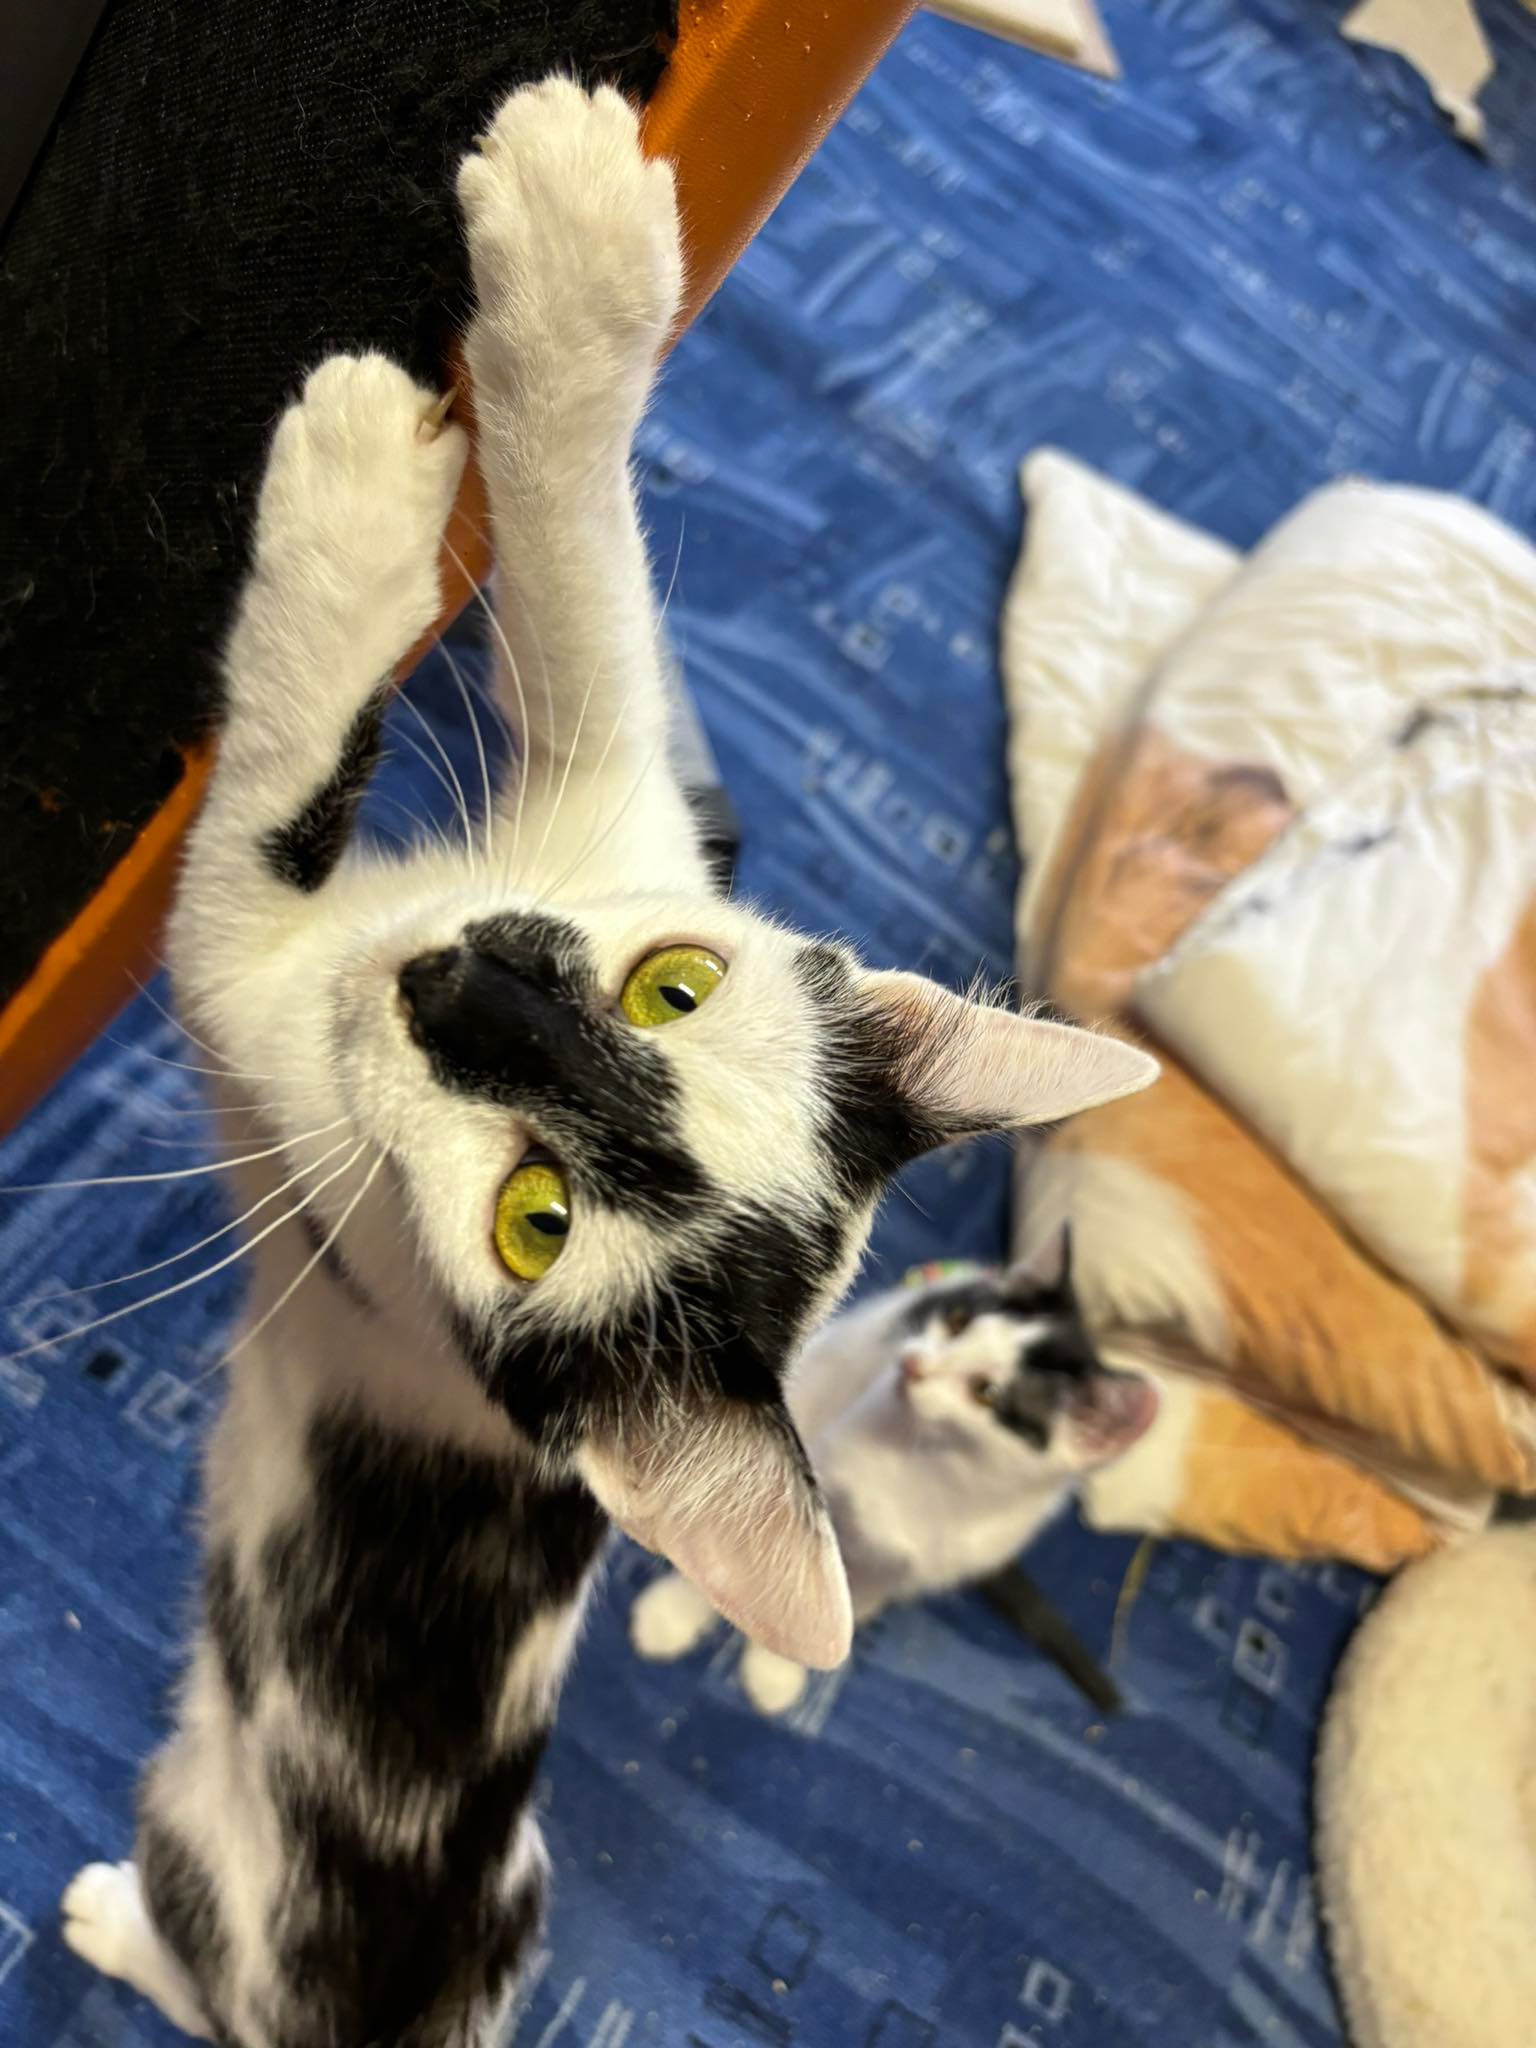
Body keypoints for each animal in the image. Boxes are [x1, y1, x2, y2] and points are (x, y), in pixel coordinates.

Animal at [631, 1228, 1158, 1713]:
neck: (923, 1462)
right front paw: (674, 1614)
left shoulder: (895, 1560)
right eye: (958, 1321)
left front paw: (778, 1667)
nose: (913, 1364)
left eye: (985, 1393)